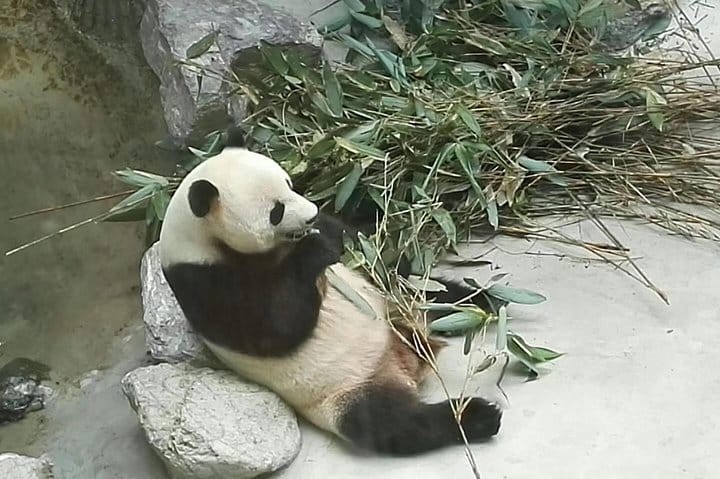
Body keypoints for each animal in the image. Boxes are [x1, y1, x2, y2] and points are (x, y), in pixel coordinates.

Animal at [157, 143, 502, 456]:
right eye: (276, 211)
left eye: (289, 183)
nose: (311, 215)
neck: (198, 238)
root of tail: (403, 361)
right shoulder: (201, 281)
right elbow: (275, 326)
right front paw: (315, 250)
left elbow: (365, 250)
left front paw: (331, 238)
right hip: (343, 393)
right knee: (393, 423)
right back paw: (477, 417)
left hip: (403, 306)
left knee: (432, 294)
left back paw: (485, 303)